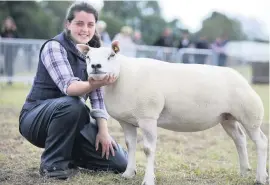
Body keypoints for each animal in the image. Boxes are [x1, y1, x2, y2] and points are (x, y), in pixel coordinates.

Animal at [76, 42, 268, 185]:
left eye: (111, 55)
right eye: (87, 57)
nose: (95, 66)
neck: (123, 76)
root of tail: (241, 78)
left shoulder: (148, 117)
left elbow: (148, 149)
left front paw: (148, 179)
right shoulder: (127, 121)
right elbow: (131, 145)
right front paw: (128, 174)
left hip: (250, 115)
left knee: (261, 142)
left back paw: (260, 177)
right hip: (227, 117)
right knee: (240, 139)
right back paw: (244, 171)